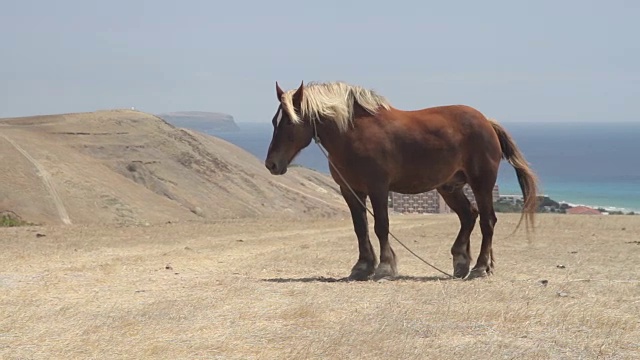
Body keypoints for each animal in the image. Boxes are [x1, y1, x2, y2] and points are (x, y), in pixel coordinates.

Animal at [262, 80, 536, 280]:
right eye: (275, 121)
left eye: (290, 122)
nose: (271, 164)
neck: (353, 134)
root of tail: (486, 122)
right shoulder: (351, 191)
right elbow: (360, 228)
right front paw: (362, 266)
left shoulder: (378, 188)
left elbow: (381, 226)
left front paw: (384, 266)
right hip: (449, 187)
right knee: (469, 216)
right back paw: (462, 261)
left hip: (481, 184)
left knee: (487, 221)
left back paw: (480, 266)